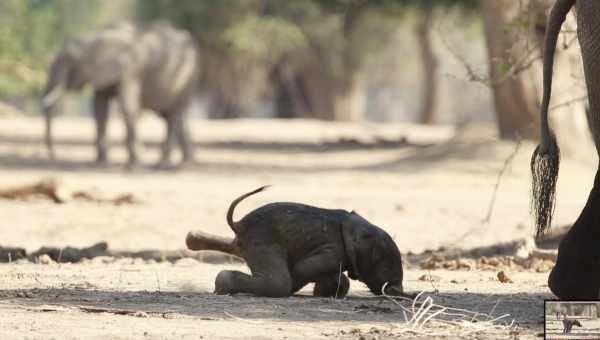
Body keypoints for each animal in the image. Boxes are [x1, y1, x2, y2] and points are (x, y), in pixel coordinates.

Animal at [40, 21, 199, 167]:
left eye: (69, 60)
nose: (54, 157)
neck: (94, 36)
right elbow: (99, 108)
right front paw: (100, 163)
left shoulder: (130, 70)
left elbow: (128, 107)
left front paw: (135, 166)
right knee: (175, 117)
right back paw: (184, 163)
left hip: (187, 78)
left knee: (174, 116)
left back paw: (163, 165)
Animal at [185, 186, 408, 298]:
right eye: (385, 268)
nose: (398, 292)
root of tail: (239, 225)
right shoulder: (333, 250)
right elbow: (302, 270)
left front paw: (327, 291)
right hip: (263, 242)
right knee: (279, 283)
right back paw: (222, 288)